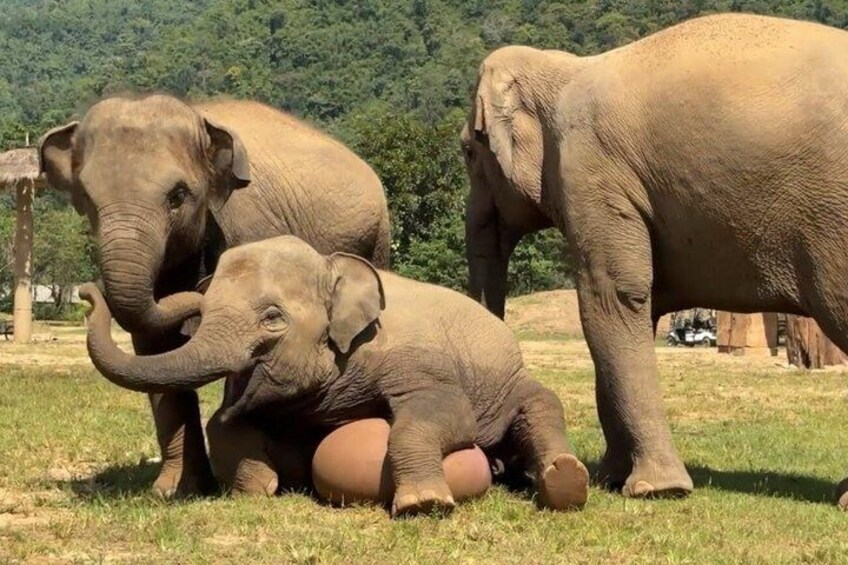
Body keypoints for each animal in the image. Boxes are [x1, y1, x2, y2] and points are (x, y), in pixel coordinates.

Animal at [39, 94, 391, 498]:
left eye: (177, 196)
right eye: (86, 199)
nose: (86, 292)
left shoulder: (249, 225)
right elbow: (154, 352)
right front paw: (174, 491)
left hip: (377, 237)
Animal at [78, 235, 591, 516]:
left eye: (273, 318)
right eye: (202, 315)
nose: (85, 292)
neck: (332, 263)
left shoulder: (412, 354)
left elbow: (445, 411)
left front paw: (423, 503)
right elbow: (223, 425)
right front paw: (259, 488)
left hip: (513, 379)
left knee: (541, 404)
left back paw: (564, 480)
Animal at [461, 12, 848, 508]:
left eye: (468, 151)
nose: (498, 470)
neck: (564, 68)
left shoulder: (591, 171)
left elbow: (610, 299)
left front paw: (656, 489)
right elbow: (633, 313)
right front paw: (609, 477)